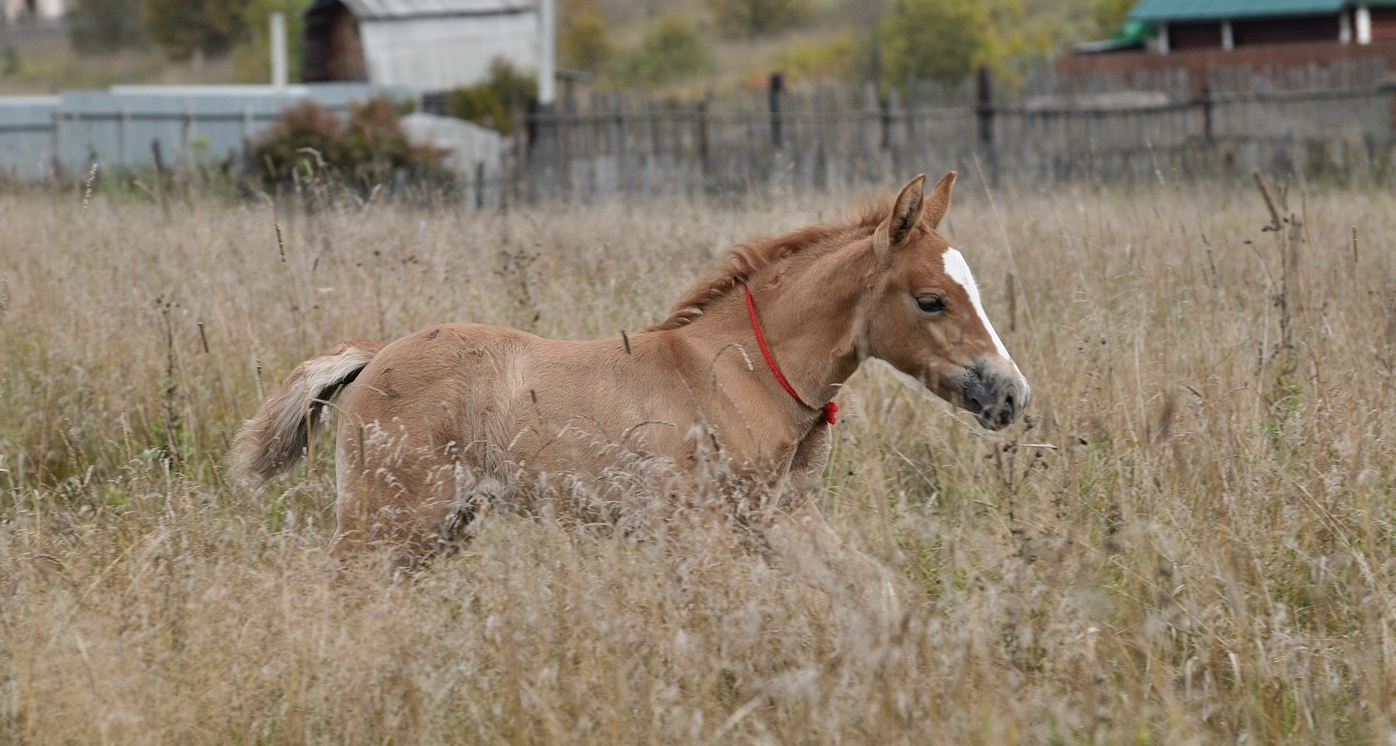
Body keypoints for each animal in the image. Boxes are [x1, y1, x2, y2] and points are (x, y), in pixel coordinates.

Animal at [234, 175, 1027, 609]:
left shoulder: (780, 519)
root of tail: (372, 360)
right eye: (931, 300)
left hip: (436, 529)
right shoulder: (702, 533)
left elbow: (871, 591)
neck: (738, 375)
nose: (1011, 396)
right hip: (387, 521)